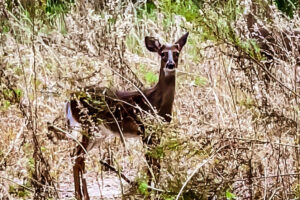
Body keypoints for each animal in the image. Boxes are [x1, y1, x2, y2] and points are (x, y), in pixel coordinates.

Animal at [66, 32, 189, 198]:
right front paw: (150, 193)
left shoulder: (158, 131)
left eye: (176, 53)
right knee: (77, 156)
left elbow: (157, 164)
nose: (170, 64)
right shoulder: (144, 129)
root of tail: (71, 100)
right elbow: (150, 164)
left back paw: (82, 195)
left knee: (78, 156)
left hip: (100, 132)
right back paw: (82, 196)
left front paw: (156, 190)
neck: (156, 101)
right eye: (162, 53)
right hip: (89, 124)